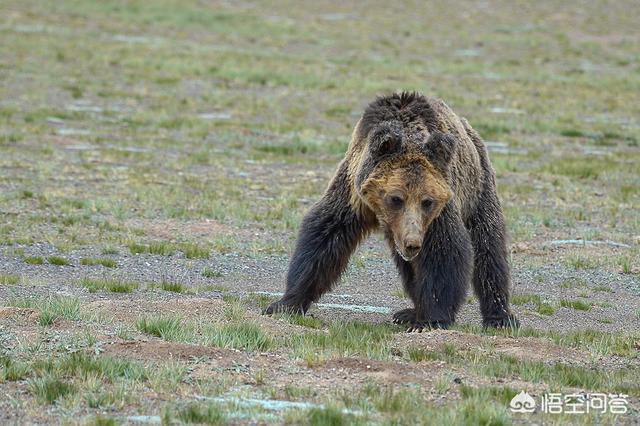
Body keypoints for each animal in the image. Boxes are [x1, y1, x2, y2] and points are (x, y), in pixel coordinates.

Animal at [262, 91, 516, 332]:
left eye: (427, 201)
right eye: (396, 198)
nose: (413, 243)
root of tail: (469, 128)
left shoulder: (439, 209)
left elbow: (445, 250)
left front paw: (430, 320)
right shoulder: (353, 193)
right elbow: (324, 239)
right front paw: (285, 304)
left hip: (478, 187)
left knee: (488, 246)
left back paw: (500, 316)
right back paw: (409, 312)